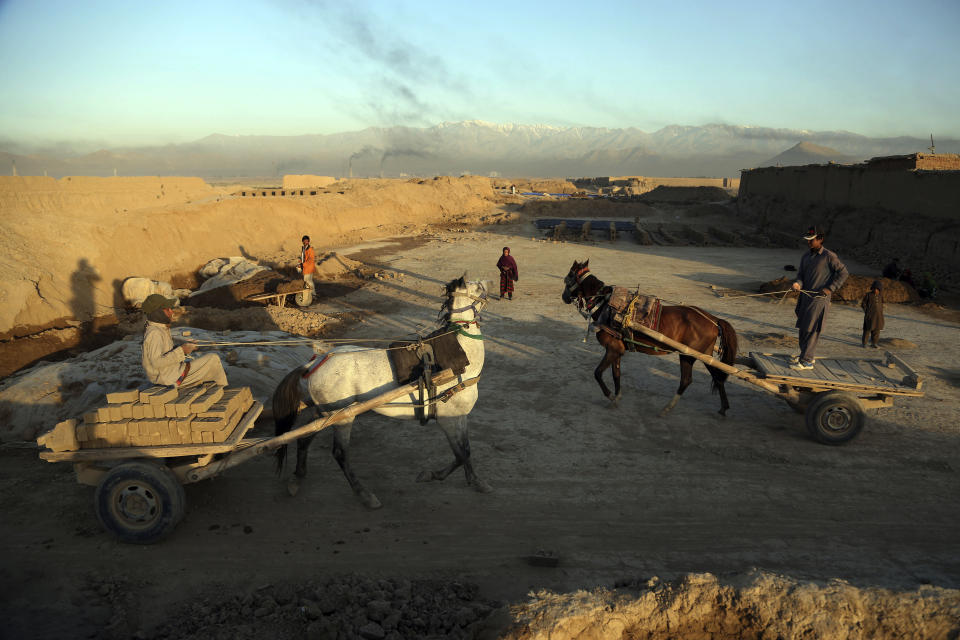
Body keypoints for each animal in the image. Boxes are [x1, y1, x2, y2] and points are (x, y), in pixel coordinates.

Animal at [272, 276, 492, 510]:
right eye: (477, 286)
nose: (489, 282)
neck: (459, 358)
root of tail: (314, 363)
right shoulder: (447, 418)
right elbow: (460, 454)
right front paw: (432, 475)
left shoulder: (460, 416)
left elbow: (466, 450)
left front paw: (476, 481)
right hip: (342, 417)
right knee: (340, 454)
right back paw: (364, 494)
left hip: (324, 413)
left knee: (304, 439)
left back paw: (297, 478)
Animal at [560, 258, 740, 418]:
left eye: (568, 276)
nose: (564, 297)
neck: (606, 304)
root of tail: (713, 319)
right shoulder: (617, 351)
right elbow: (616, 374)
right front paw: (616, 398)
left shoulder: (612, 350)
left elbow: (597, 373)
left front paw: (610, 395)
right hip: (703, 354)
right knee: (715, 378)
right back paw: (723, 408)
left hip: (690, 354)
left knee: (688, 380)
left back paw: (667, 409)